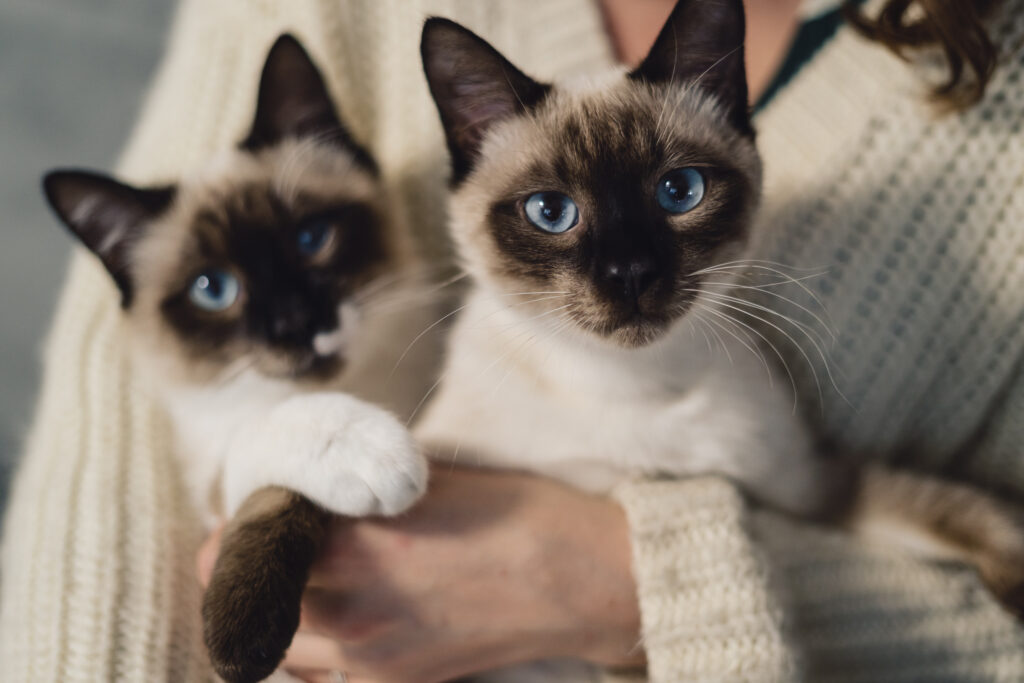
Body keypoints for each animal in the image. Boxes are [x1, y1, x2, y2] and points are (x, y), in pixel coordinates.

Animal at [43, 36, 436, 683]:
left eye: (311, 239)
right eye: (214, 290)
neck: (371, 389)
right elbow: (273, 455)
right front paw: (379, 454)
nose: (298, 325)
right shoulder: (215, 488)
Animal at [415, 2, 1024, 679]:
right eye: (551, 212)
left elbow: (956, 508)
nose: (630, 274)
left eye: (679, 192)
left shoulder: (817, 491)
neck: (632, 383)